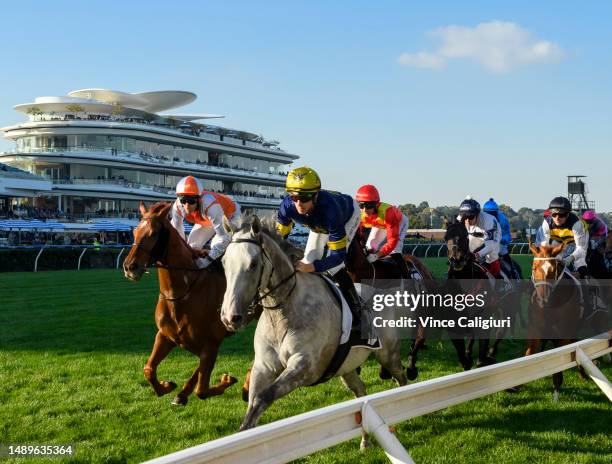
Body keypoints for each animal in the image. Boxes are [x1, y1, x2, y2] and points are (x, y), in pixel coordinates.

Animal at [123, 201, 238, 404]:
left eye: (153, 233)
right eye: (135, 231)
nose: (130, 267)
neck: (183, 292)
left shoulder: (211, 343)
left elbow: (202, 390)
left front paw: (226, 380)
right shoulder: (165, 335)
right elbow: (148, 369)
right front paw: (168, 386)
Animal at [220, 216, 406, 448]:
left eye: (253, 264)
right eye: (223, 262)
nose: (230, 318)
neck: (283, 310)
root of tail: (382, 293)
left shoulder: (303, 366)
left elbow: (264, 397)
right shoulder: (263, 366)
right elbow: (253, 404)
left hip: (388, 355)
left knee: (401, 378)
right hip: (347, 367)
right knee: (361, 392)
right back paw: (365, 441)